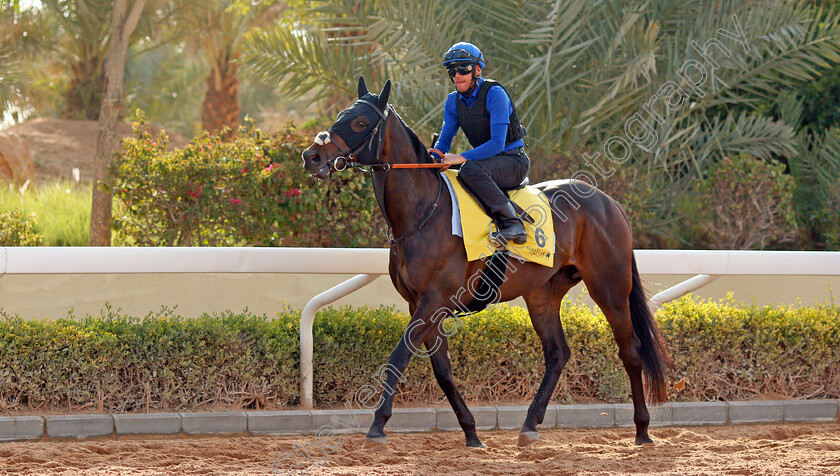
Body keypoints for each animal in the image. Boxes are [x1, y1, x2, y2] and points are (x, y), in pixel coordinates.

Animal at [298, 76, 672, 448]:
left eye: (360, 122)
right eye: (340, 115)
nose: (311, 156)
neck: (423, 212)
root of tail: (610, 202)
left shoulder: (434, 299)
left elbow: (399, 355)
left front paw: (377, 425)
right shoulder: (419, 303)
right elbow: (442, 370)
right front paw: (471, 432)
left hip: (609, 287)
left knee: (631, 351)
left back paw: (642, 430)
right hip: (543, 294)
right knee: (557, 354)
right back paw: (529, 425)